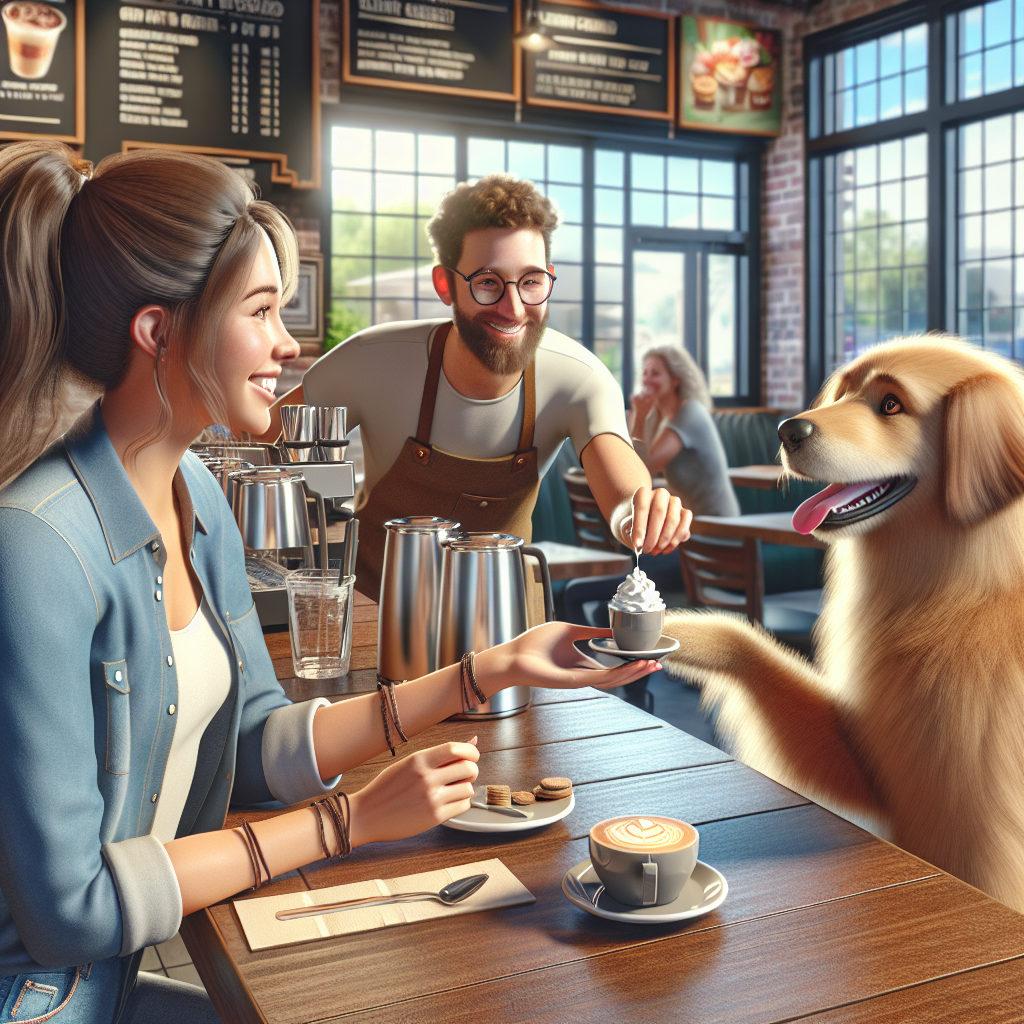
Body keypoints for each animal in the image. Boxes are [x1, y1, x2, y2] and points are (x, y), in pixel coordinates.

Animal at [659, 335, 1024, 913]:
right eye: (844, 391)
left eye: (891, 403)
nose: (788, 430)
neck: (968, 587)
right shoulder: (878, 767)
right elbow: (742, 639)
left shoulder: (979, 824)